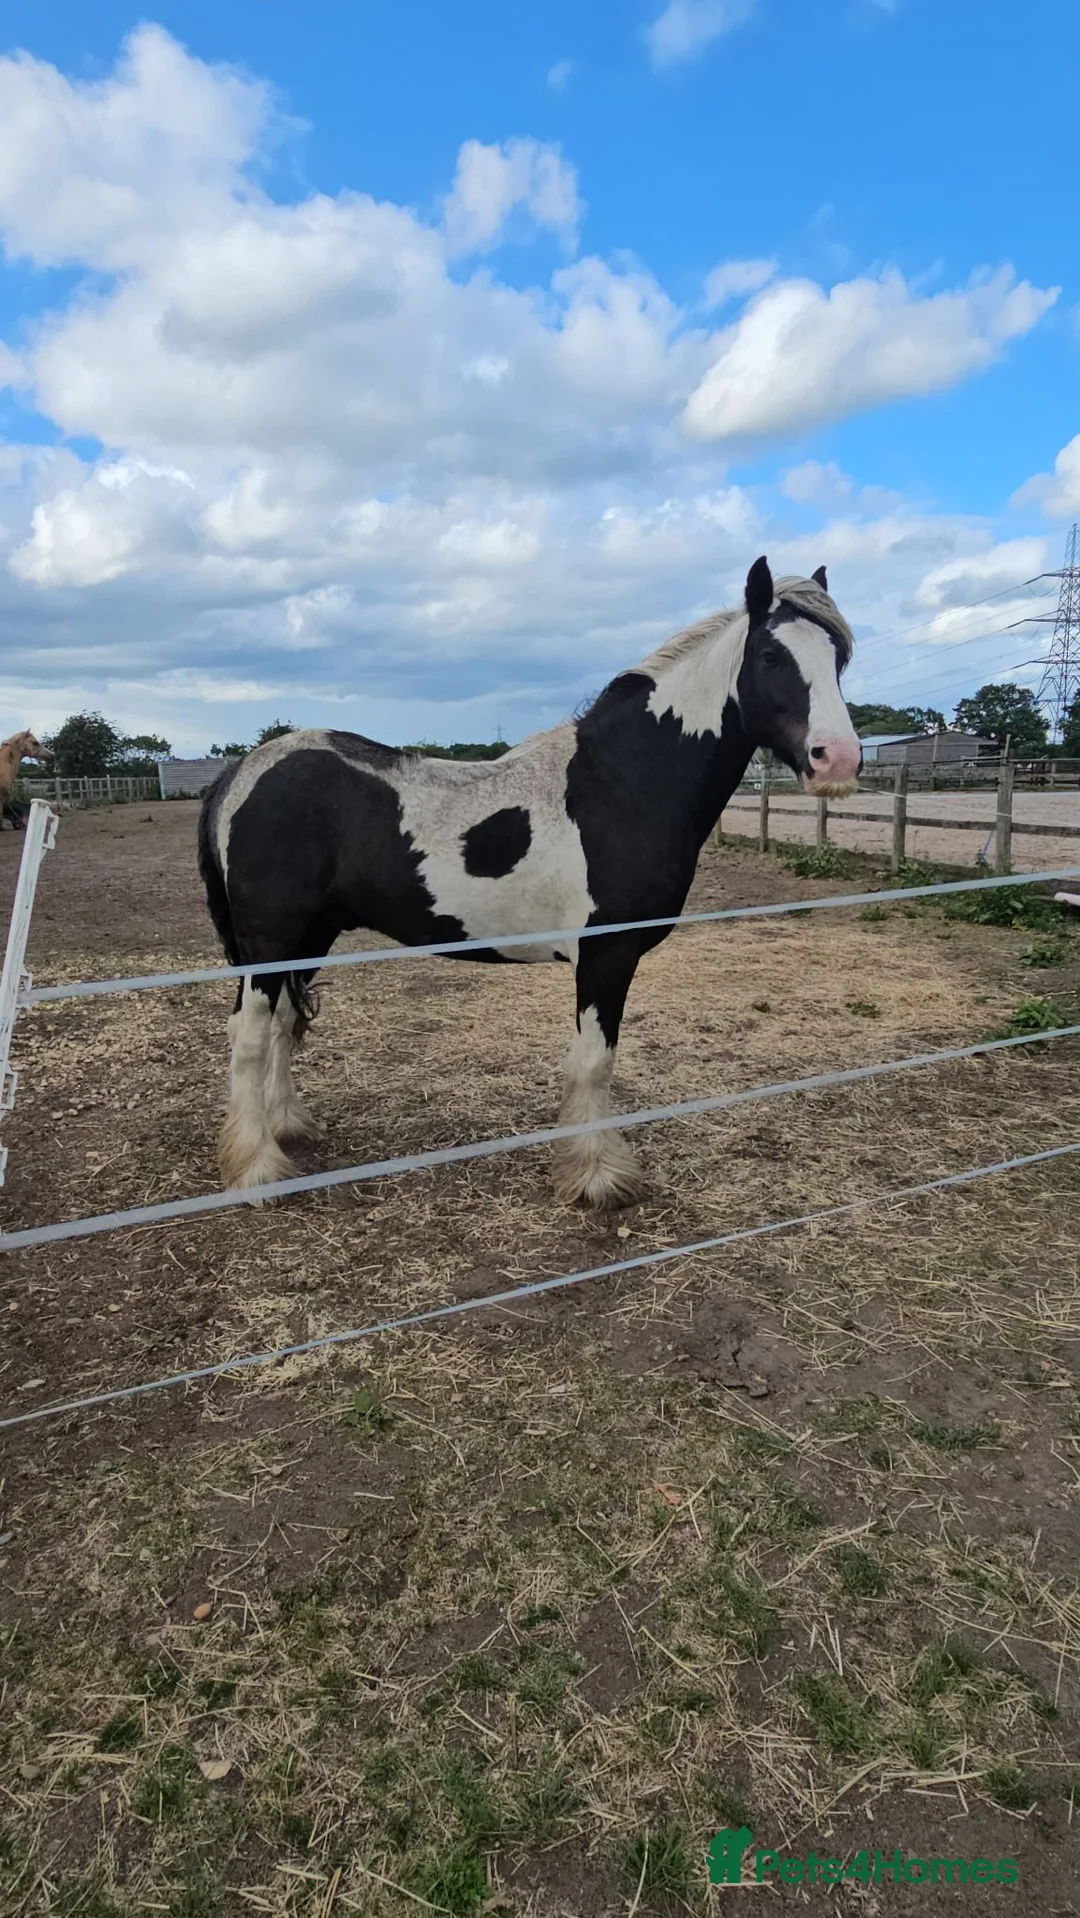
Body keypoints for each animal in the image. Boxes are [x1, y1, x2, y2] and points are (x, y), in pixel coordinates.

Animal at [198, 557, 862, 1205]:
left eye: (839, 658)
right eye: (771, 655)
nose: (839, 760)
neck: (619, 784)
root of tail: (243, 772)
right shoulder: (606, 953)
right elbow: (595, 1062)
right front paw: (597, 1179)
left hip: (310, 936)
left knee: (281, 1023)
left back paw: (287, 1128)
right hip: (271, 941)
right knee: (250, 1034)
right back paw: (258, 1170)